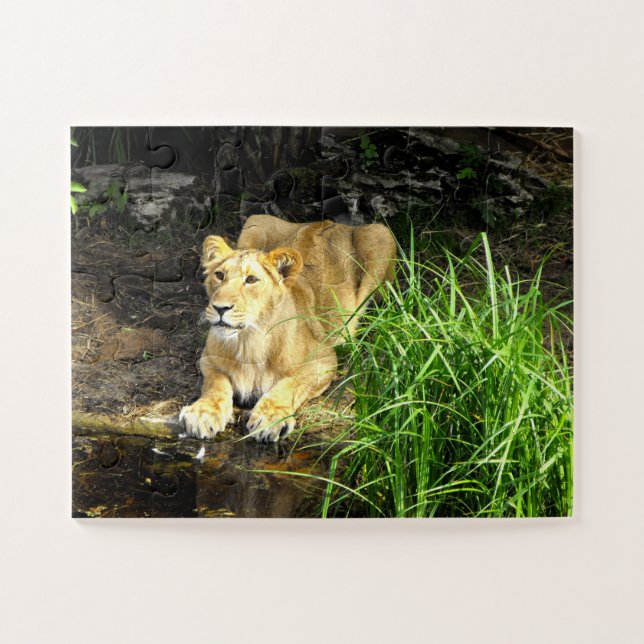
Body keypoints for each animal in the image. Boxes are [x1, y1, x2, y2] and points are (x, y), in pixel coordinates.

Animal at [179, 214, 397, 442]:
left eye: (251, 279)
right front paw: (203, 413)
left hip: (381, 236)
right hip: (255, 221)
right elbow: (216, 384)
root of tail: (330, 222)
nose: (220, 308)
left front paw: (270, 417)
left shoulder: (325, 359)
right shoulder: (208, 359)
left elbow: (290, 383)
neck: (249, 341)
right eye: (220, 275)